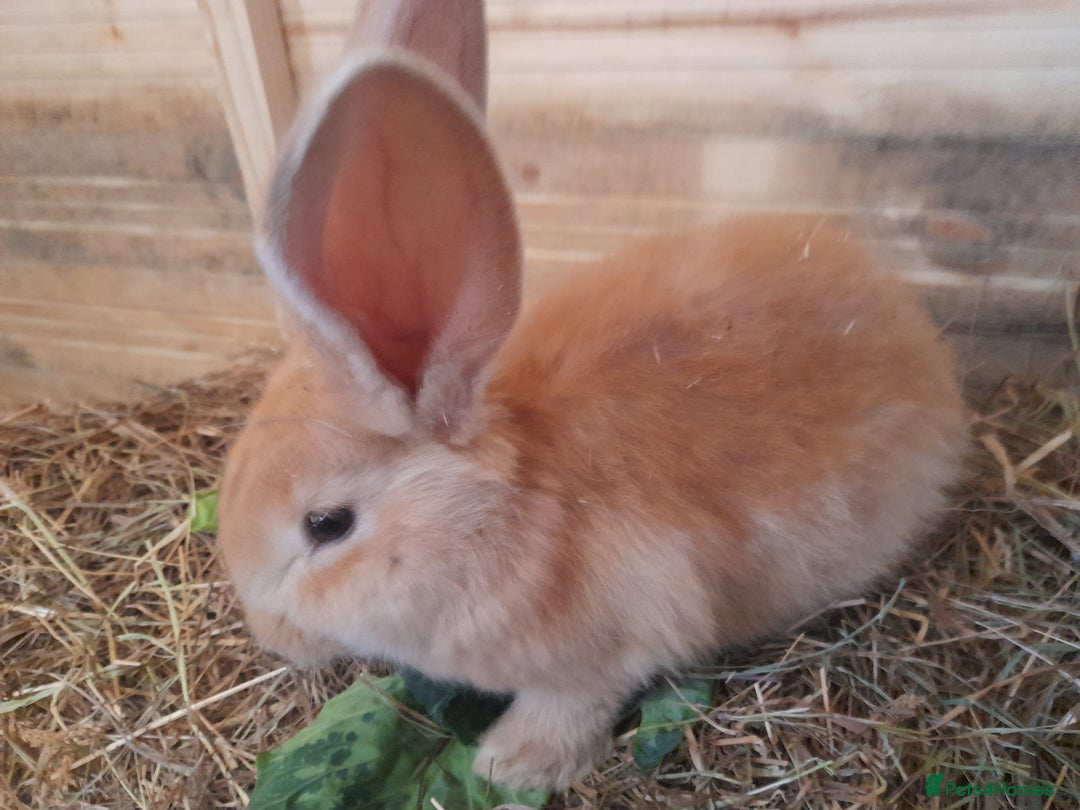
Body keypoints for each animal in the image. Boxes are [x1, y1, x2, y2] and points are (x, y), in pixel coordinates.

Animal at [216, 0, 968, 791]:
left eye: (326, 525)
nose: (271, 636)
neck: (501, 511)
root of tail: (912, 323)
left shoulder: (609, 649)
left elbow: (573, 702)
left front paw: (513, 765)